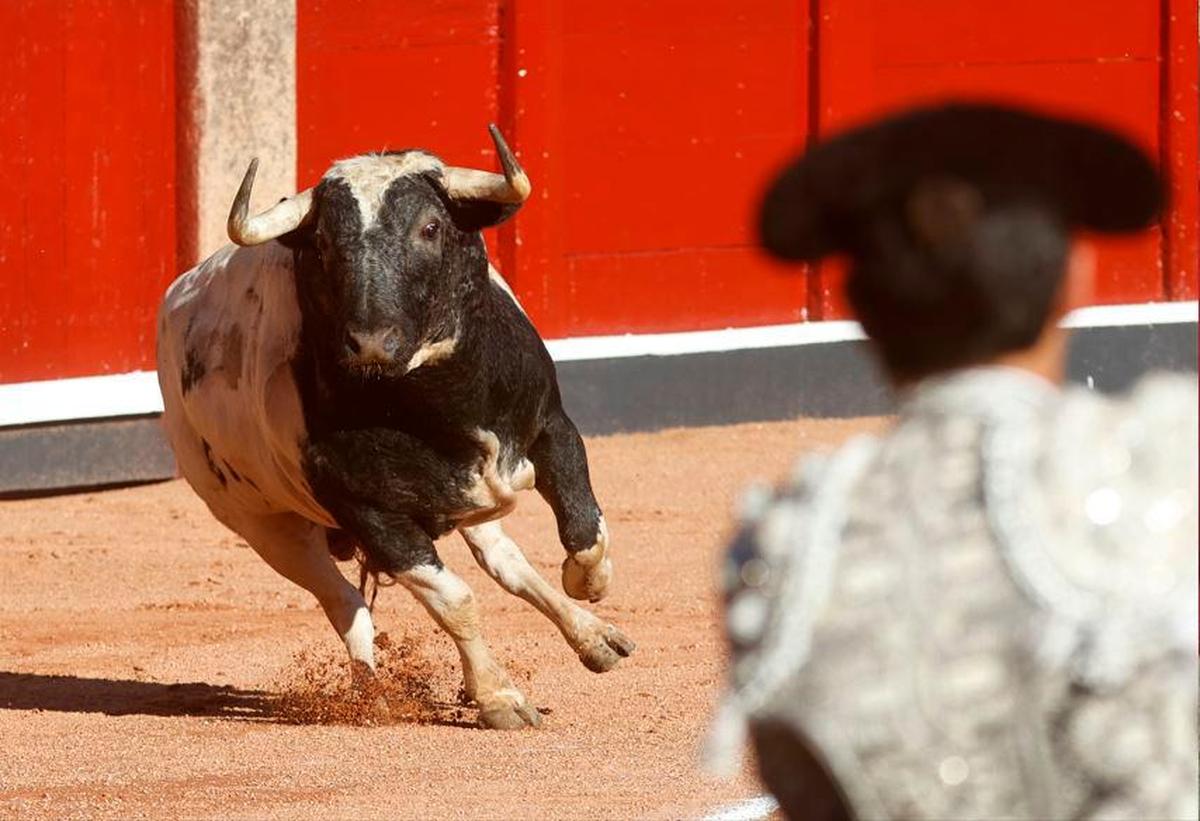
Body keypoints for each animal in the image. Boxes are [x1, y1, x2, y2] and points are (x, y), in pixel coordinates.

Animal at [157, 124, 638, 729]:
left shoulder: (554, 426)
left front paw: (590, 584)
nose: (370, 344)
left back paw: (596, 639)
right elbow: (454, 601)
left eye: (430, 227)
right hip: (265, 526)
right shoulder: (373, 515)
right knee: (345, 601)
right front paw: (498, 697)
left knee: (506, 564)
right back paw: (371, 695)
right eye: (323, 244)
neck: (445, 404)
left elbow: (584, 530)